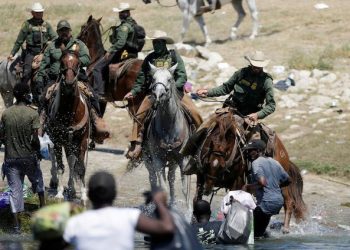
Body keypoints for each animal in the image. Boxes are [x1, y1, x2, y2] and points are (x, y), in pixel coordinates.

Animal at [46, 49, 90, 204]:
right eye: (62, 62)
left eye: (78, 63)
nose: (70, 82)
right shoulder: (58, 141)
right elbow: (60, 167)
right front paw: (59, 193)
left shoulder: (82, 141)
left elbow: (80, 168)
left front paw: (83, 196)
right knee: (58, 159)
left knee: (71, 162)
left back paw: (72, 189)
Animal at [142, 63, 191, 204]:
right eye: (153, 79)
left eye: (169, 79)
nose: (159, 94)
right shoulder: (157, 160)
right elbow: (162, 187)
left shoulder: (183, 159)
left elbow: (185, 189)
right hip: (149, 160)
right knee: (153, 179)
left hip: (173, 161)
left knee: (171, 178)